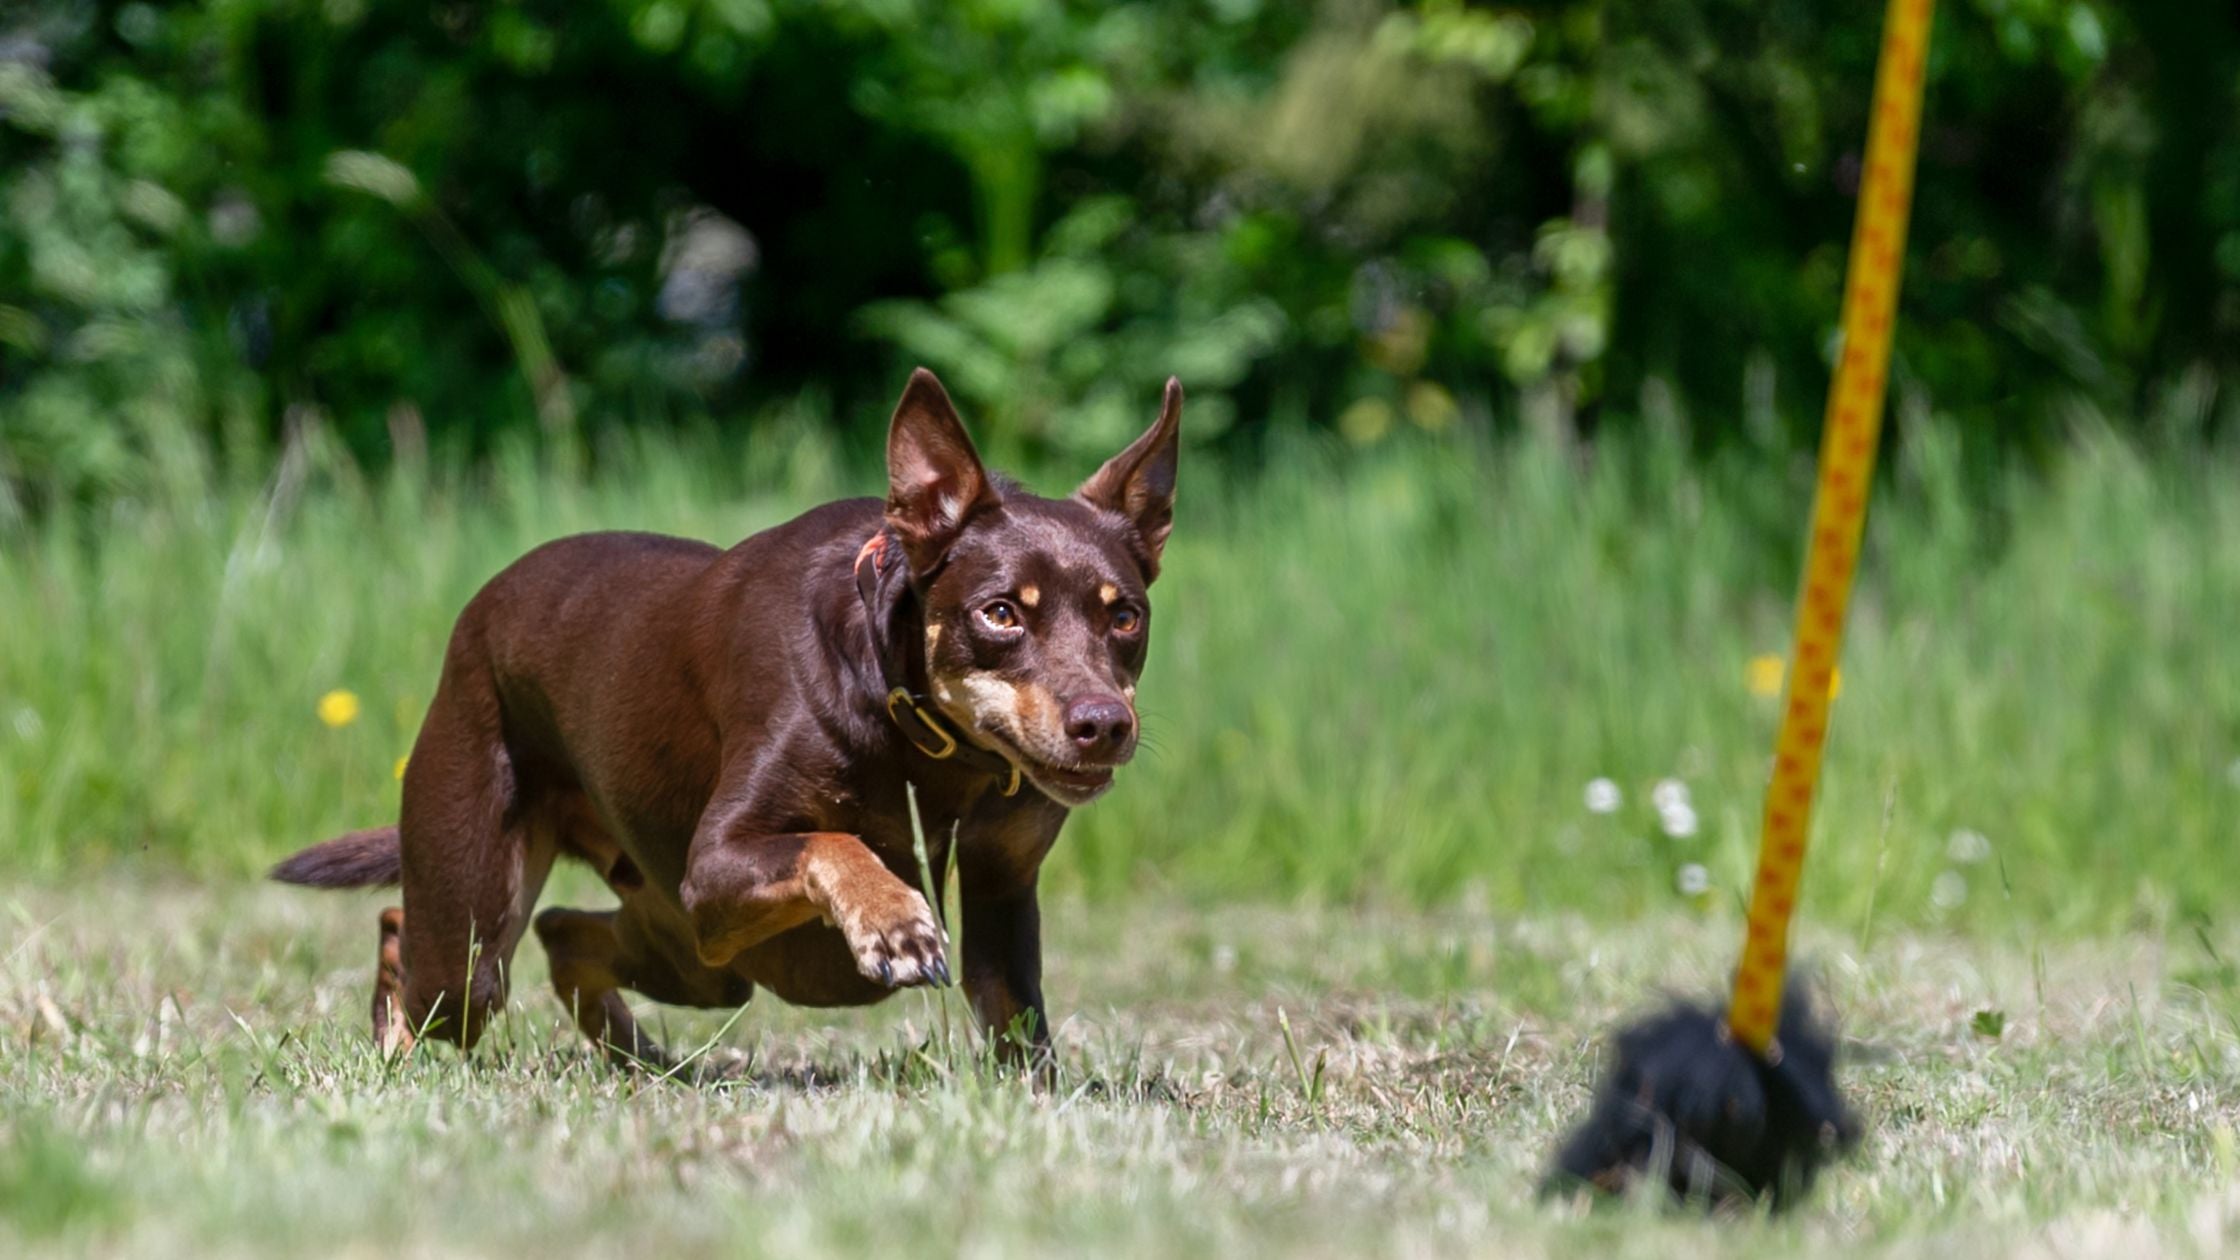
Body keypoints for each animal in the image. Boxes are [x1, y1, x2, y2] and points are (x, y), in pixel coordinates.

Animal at [273, 367, 1182, 1062]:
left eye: (1126, 616)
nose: (1104, 724)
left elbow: (1018, 1030)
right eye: (1000, 613)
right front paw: (893, 922)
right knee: (419, 939)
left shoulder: (1001, 886)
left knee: (566, 933)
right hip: (484, 919)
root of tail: (476, 615)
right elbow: (834, 842)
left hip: (696, 952)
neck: (929, 744)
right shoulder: (715, 863)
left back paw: (633, 1053)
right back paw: (403, 1047)